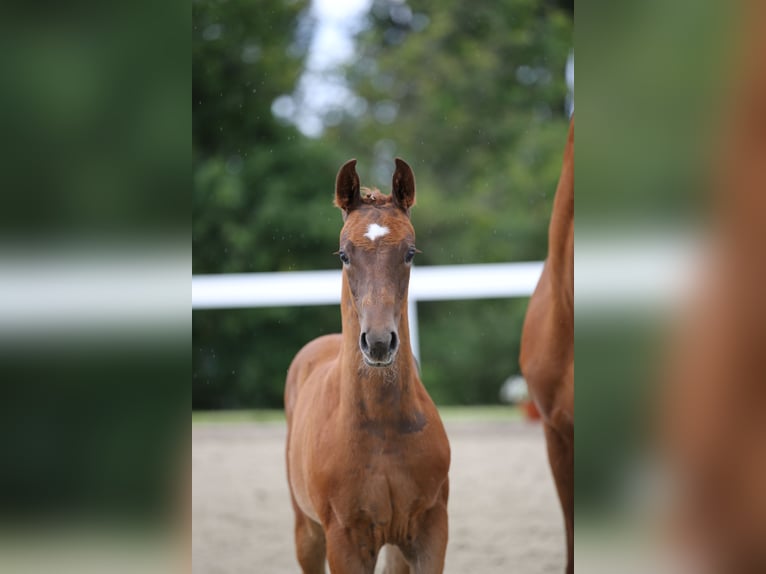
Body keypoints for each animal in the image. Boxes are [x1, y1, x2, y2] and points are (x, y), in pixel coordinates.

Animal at [286, 159, 452, 574]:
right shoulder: (345, 540)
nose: (378, 341)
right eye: (344, 255)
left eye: (410, 253)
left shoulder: (430, 531)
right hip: (306, 531)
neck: (381, 428)